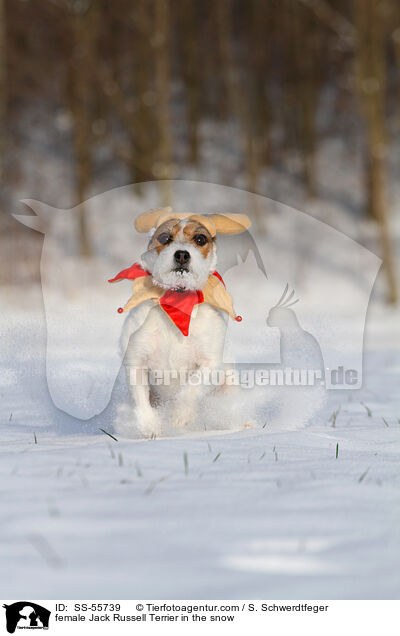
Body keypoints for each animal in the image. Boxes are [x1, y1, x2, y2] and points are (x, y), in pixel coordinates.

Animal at [119, 209, 250, 438]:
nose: (181, 254)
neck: (178, 303)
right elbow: (141, 400)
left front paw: (181, 414)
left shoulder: (210, 362)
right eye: (164, 237)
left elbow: (193, 386)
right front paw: (150, 426)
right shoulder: (136, 362)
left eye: (200, 239)